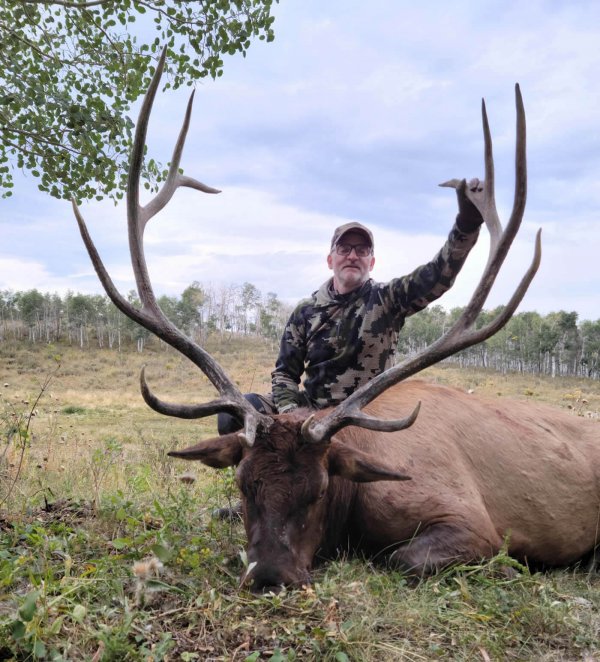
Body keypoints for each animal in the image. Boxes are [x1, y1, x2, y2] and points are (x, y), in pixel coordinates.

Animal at [72, 49, 600, 592]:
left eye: (320, 488)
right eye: (243, 485)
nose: (270, 575)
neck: (355, 504)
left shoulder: (474, 523)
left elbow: (403, 558)